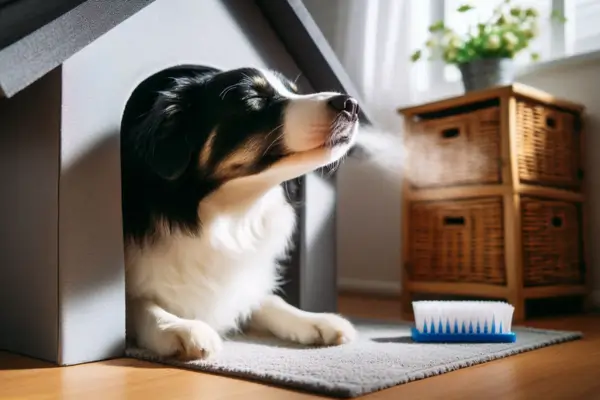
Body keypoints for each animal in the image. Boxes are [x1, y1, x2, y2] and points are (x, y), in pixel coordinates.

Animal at [119, 65, 358, 360]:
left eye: (294, 91)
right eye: (253, 98)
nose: (350, 104)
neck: (229, 215)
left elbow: (265, 298)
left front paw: (315, 320)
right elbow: (137, 305)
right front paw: (177, 326)